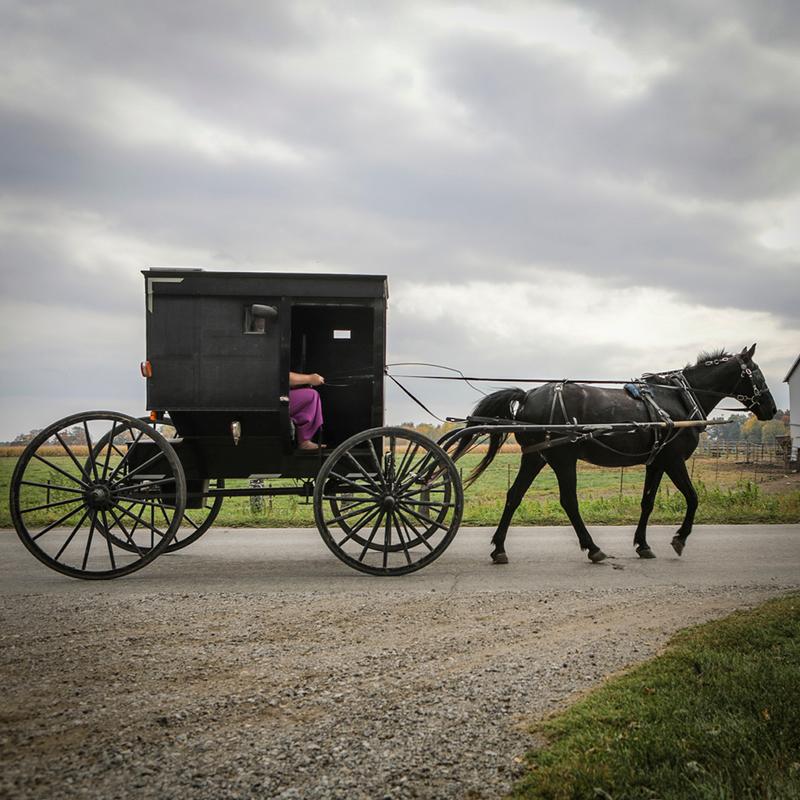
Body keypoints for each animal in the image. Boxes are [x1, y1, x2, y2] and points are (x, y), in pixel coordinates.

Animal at [444, 344, 776, 564]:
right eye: (757, 374)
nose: (771, 409)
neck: (678, 400)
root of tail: (528, 396)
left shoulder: (656, 461)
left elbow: (647, 502)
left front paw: (642, 544)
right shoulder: (673, 459)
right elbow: (693, 498)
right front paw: (679, 538)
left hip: (537, 456)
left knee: (514, 495)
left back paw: (500, 548)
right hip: (563, 458)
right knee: (569, 501)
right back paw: (592, 548)